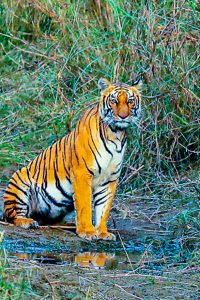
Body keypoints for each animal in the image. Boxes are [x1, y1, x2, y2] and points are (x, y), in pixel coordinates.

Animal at [3, 78, 141, 241]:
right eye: (114, 101)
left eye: (130, 101)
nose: (123, 116)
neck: (115, 134)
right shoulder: (82, 174)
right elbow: (85, 206)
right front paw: (88, 232)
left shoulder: (109, 180)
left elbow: (103, 209)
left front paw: (102, 233)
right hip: (19, 184)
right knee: (13, 216)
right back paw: (28, 222)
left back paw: (68, 225)